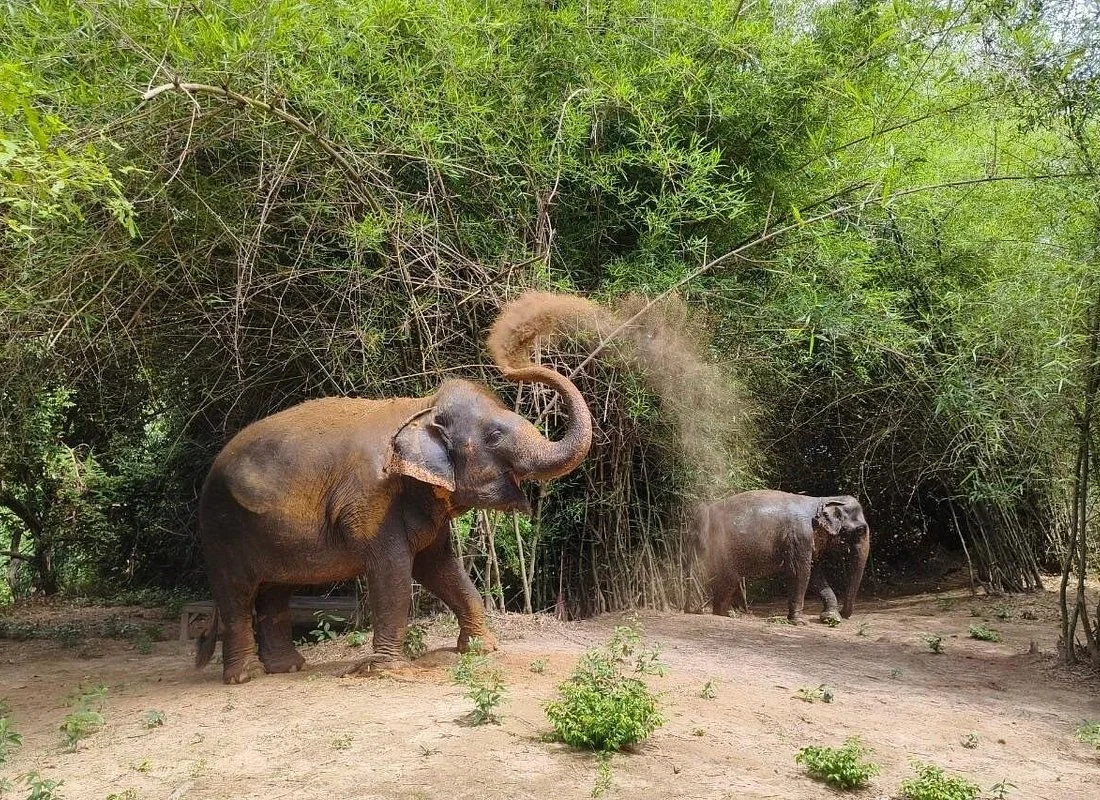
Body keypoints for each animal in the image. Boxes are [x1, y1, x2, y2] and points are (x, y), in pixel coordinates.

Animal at [195, 363, 591, 684]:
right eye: (494, 436)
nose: (512, 369)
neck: (422, 406)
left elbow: (441, 568)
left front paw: (481, 648)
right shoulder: (372, 500)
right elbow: (393, 570)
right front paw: (387, 669)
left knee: (275, 591)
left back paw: (288, 667)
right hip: (219, 527)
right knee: (237, 593)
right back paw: (246, 676)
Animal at [690, 490, 870, 625]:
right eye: (861, 530)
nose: (843, 613)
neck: (823, 500)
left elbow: (815, 573)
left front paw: (831, 617)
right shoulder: (800, 536)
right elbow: (801, 571)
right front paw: (799, 622)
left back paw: (725, 614)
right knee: (721, 576)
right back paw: (699, 611)